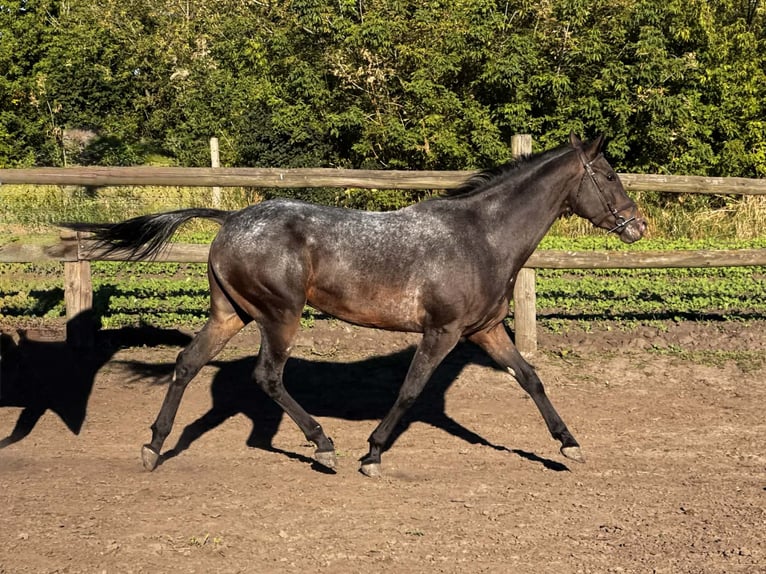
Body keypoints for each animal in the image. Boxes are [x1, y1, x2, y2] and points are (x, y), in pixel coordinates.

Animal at [68, 133, 646, 477]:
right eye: (610, 175)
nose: (638, 225)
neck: (480, 236)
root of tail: (230, 219)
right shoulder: (442, 332)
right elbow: (410, 391)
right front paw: (372, 453)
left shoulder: (485, 330)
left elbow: (529, 378)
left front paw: (569, 445)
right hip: (279, 316)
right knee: (268, 377)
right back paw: (324, 445)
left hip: (230, 313)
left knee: (187, 364)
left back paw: (154, 447)